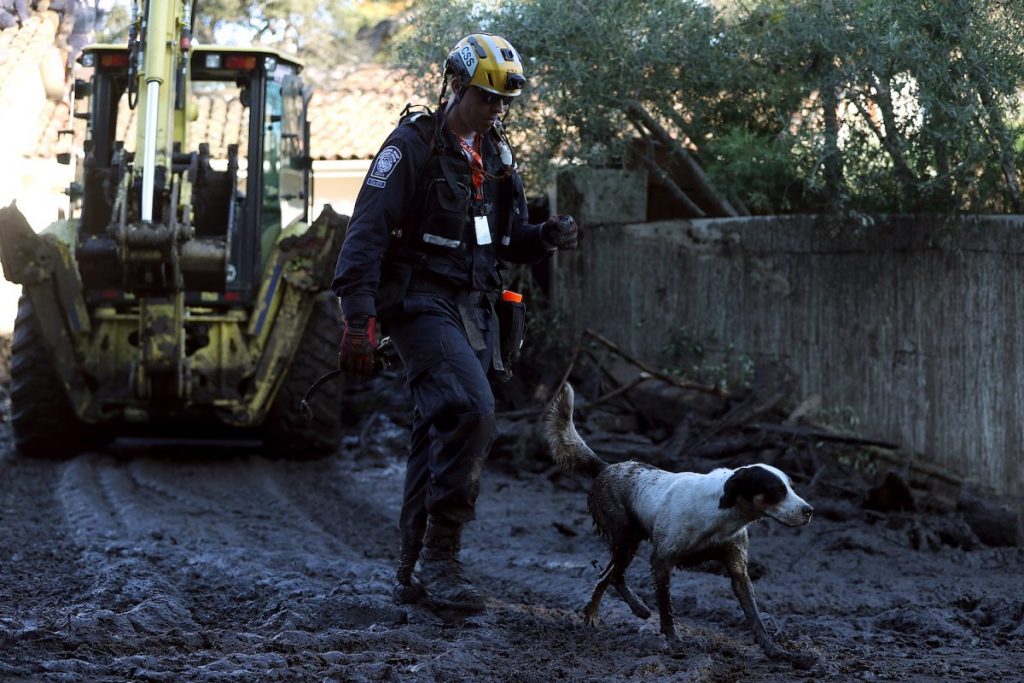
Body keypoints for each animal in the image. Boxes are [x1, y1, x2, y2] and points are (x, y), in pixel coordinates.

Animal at [544, 385, 815, 667]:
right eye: (776, 490)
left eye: (791, 486)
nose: (809, 511)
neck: (721, 513)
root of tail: (606, 468)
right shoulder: (662, 561)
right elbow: (667, 606)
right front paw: (673, 639)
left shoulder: (738, 570)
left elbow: (755, 618)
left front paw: (776, 651)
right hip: (625, 538)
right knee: (609, 575)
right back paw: (603, 614)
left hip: (628, 541)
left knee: (611, 575)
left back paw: (628, 610)